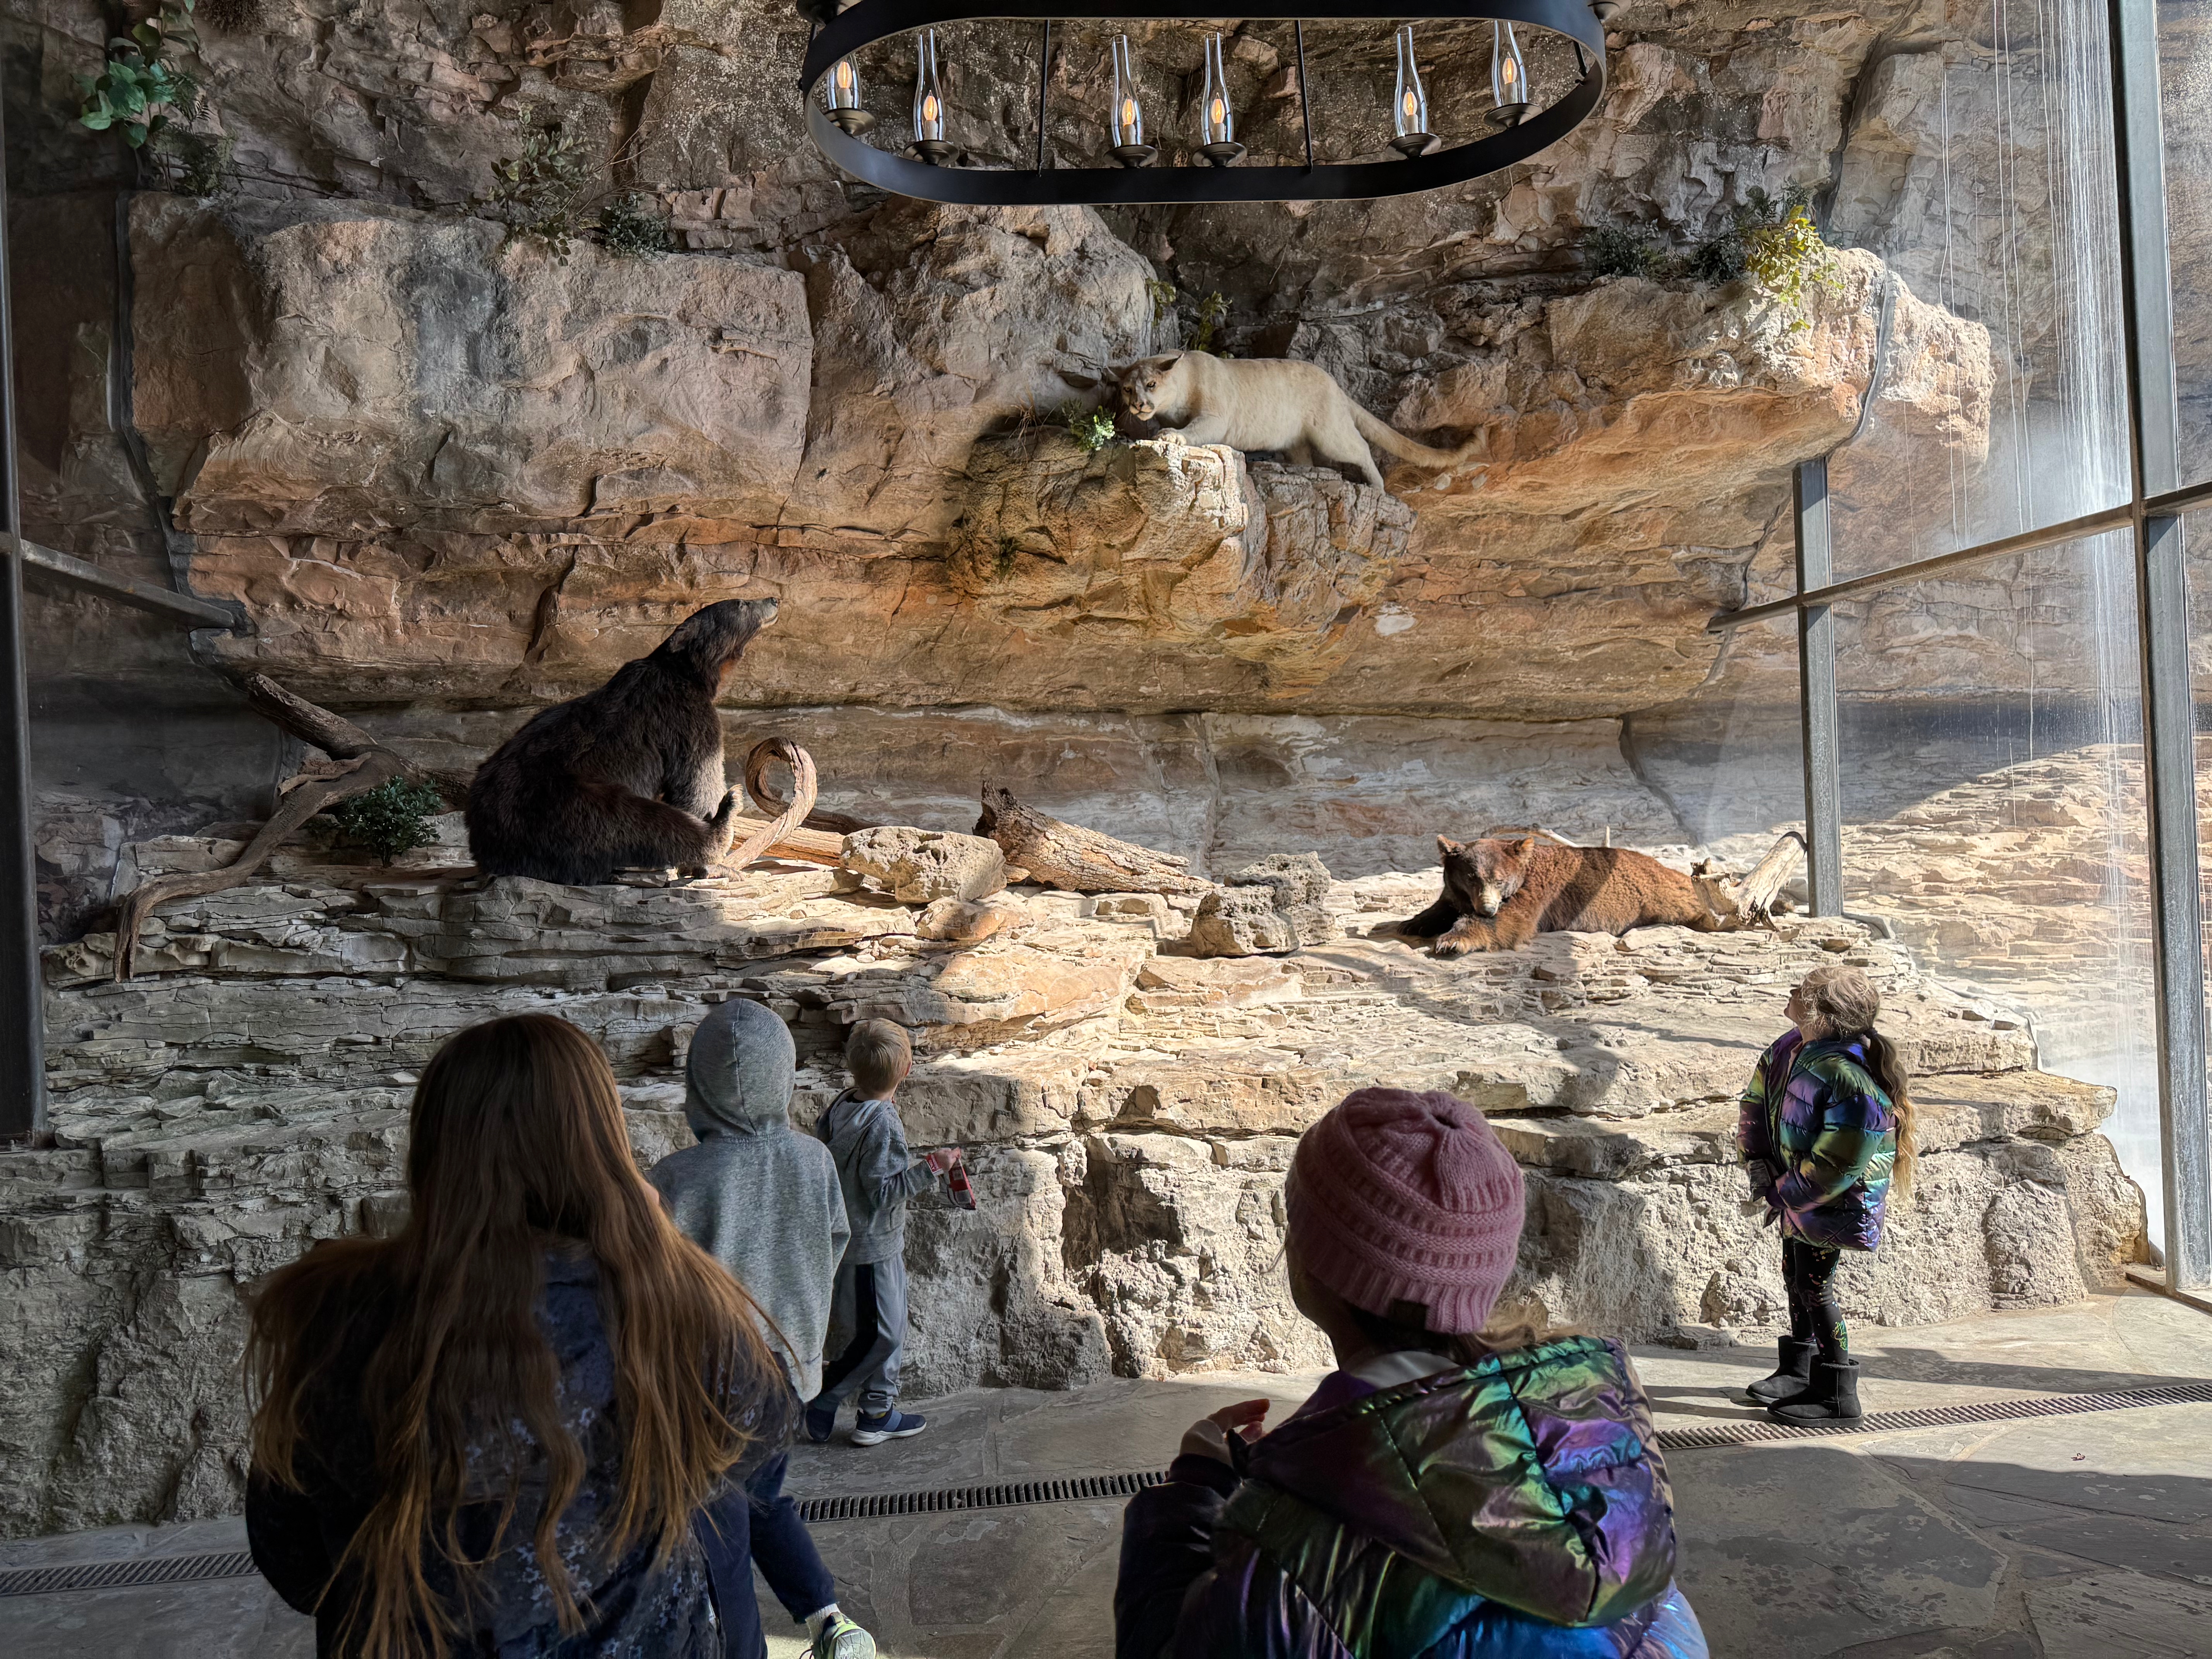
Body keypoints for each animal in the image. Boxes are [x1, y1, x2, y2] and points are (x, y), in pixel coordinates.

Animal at [464, 598, 777, 886]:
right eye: (742, 604)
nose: (773, 600)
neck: (695, 673)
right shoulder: (684, 713)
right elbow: (698, 778)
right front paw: (716, 863)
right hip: (562, 804)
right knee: (643, 820)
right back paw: (723, 820)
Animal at [1388, 834, 1726, 956]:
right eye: (1471, 877)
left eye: (1499, 880)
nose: (1486, 909)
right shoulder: (1456, 891)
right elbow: (1444, 905)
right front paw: (1412, 923)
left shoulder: (1536, 892)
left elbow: (1512, 922)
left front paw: (1452, 941)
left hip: (1666, 895)